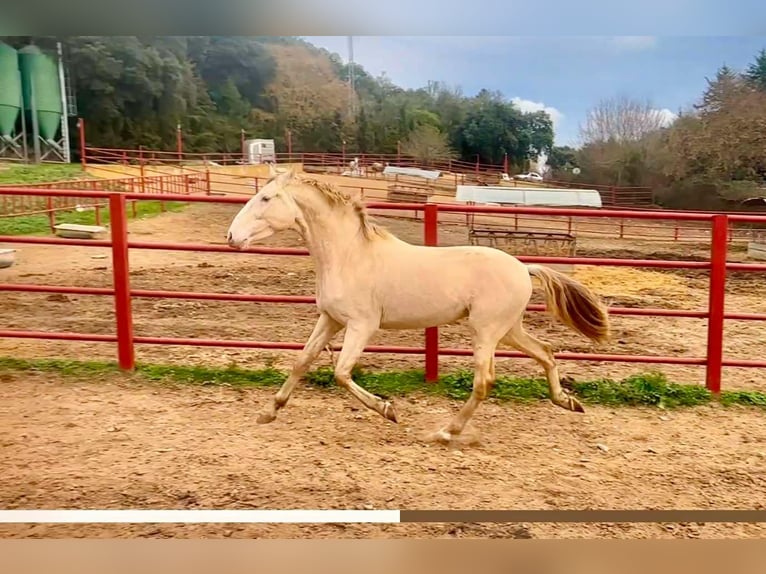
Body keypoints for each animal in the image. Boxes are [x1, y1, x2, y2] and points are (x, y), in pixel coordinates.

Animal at [224, 166, 612, 446]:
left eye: (266, 198)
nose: (230, 237)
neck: (349, 255)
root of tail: (523, 267)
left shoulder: (362, 325)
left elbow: (341, 373)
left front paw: (388, 410)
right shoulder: (330, 320)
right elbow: (301, 361)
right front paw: (268, 412)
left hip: (486, 331)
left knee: (484, 381)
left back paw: (445, 432)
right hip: (508, 330)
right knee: (546, 352)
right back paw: (568, 402)